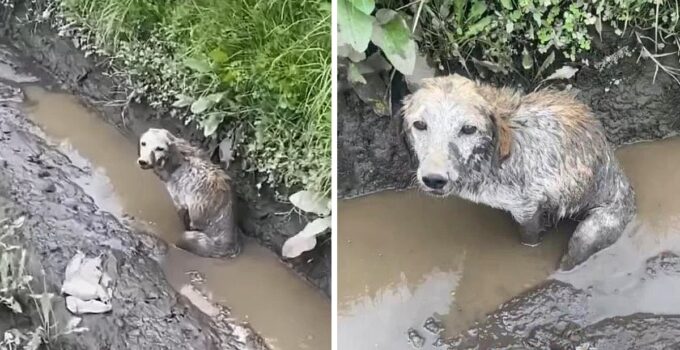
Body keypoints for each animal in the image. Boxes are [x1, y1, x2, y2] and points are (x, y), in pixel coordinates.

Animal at [402, 74, 636, 270]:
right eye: (419, 124)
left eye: (468, 128)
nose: (434, 179)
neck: (492, 157)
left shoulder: (528, 207)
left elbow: (529, 238)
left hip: (591, 231)